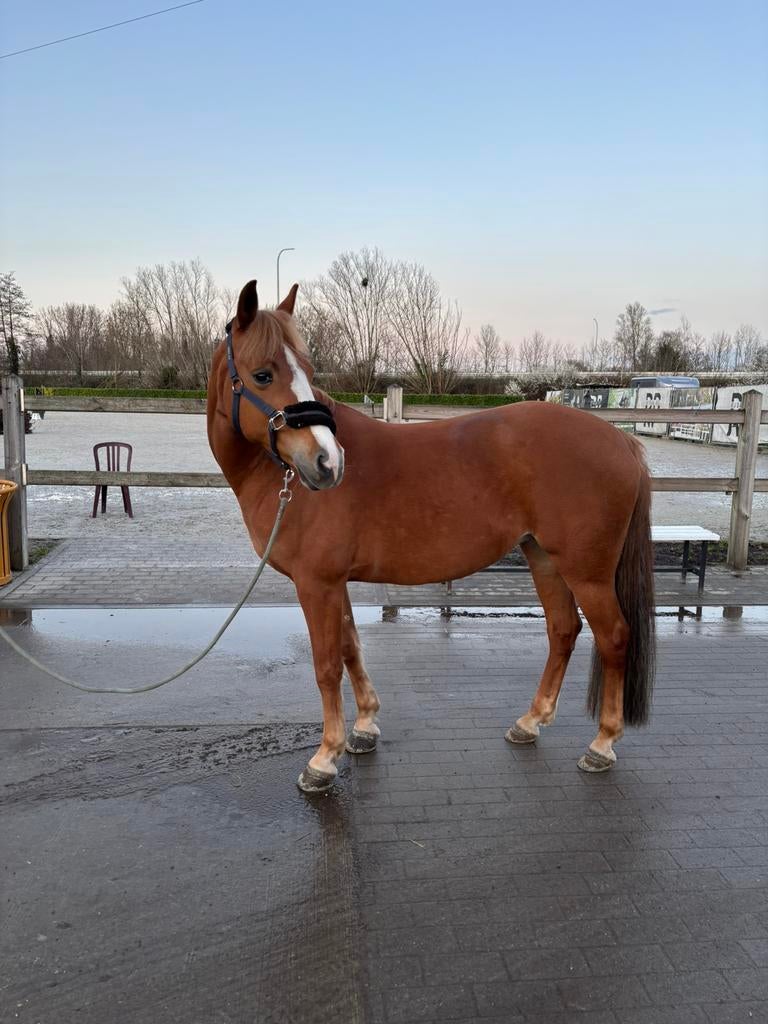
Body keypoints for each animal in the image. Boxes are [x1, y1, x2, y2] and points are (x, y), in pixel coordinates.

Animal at [207, 280, 655, 794]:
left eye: (308, 371)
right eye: (263, 375)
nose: (327, 464)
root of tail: (623, 441)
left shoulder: (315, 583)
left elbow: (325, 665)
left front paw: (324, 758)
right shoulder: (333, 582)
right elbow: (350, 649)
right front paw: (365, 727)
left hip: (587, 572)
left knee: (614, 636)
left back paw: (602, 744)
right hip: (543, 556)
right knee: (563, 630)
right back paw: (530, 722)